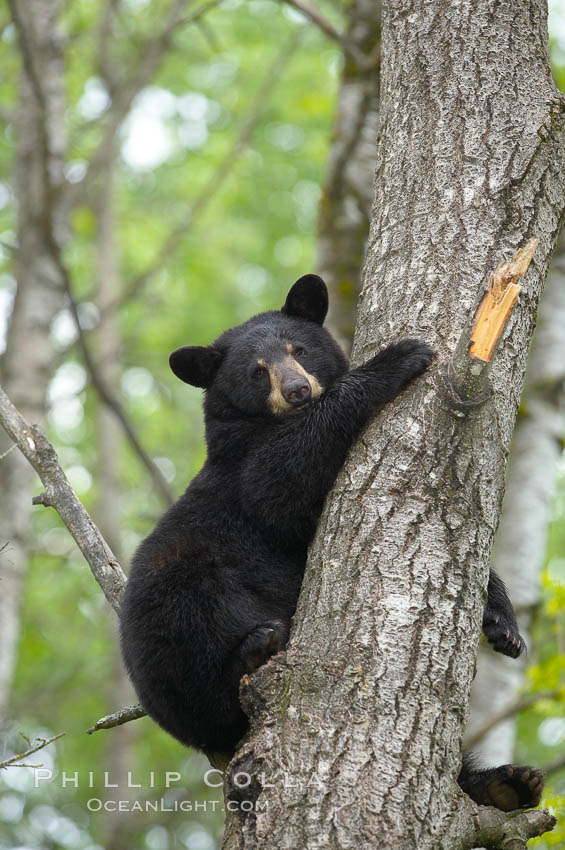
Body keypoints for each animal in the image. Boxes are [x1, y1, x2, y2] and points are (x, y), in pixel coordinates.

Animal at [119, 276, 540, 808]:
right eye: (256, 372)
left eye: (298, 349)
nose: (297, 389)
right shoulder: (244, 468)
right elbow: (279, 486)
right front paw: (398, 356)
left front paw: (503, 622)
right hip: (169, 612)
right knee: (196, 629)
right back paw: (255, 647)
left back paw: (507, 784)